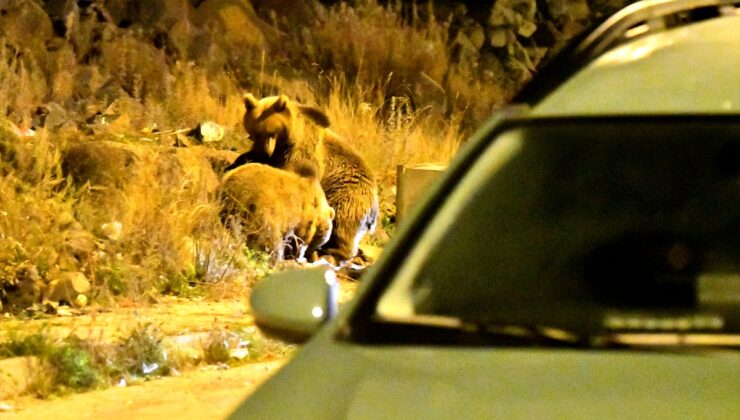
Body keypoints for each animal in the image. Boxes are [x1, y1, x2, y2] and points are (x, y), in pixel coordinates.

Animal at [230, 94, 382, 266]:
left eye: (271, 133)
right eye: (254, 134)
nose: (265, 150)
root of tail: (375, 202)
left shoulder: (302, 152)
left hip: (348, 195)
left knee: (343, 226)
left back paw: (330, 254)